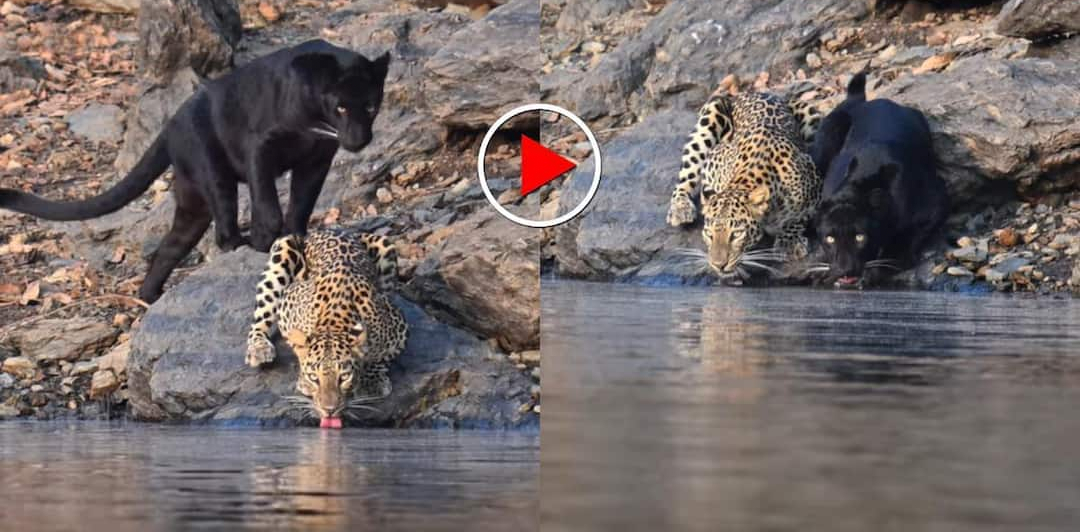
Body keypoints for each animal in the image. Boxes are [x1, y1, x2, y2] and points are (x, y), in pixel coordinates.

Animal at [244, 227, 408, 426]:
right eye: (314, 378)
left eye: (344, 377)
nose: (329, 410)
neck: (334, 322)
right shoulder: (287, 305)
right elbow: (296, 343)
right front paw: (303, 380)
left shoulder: (398, 326)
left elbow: (381, 358)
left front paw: (372, 381)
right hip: (282, 249)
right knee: (261, 316)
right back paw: (259, 348)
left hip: (385, 246)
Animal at [667, 86, 824, 279]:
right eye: (709, 234)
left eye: (736, 234)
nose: (718, 265)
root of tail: (753, 91)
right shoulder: (713, 161)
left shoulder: (816, 183)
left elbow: (798, 218)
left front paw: (789, 243)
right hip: (710, 114)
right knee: (686, 175)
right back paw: (680, 208)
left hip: (811, 115)